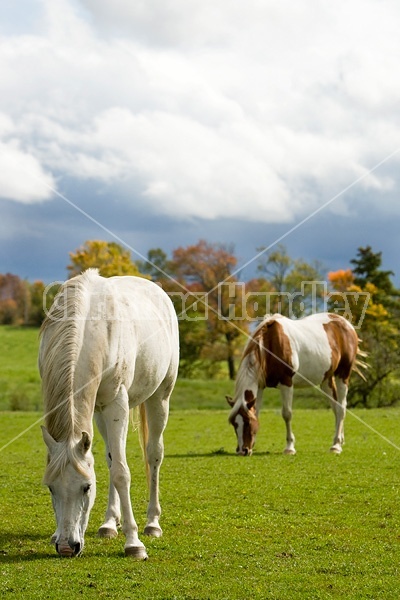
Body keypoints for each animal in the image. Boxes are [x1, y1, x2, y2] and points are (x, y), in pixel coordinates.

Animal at [39, 270, 180, 560]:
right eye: (50, 487)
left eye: (86, 487)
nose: (67, 547)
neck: (90, 329)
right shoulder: (101, 409)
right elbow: (113, 462)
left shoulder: (117, 404)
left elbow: (121, 473)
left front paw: (134, 543)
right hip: (101, 413)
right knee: (111, 456)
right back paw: (109, 524)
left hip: (160, 398)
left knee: (153, 455)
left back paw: (152, 523)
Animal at [227, 314, 364, 454]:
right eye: (233, 423)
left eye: (248, 422)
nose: (242, 450)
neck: (268, 345)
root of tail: (347, 324)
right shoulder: (260, 386)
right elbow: (257, 412)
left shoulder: (286, 383)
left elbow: (287, 414)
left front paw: (289, 447)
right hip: (326, 380)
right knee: (335, 407)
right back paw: (339, 440)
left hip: (343, 375)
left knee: (341, 408)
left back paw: (336, 445)